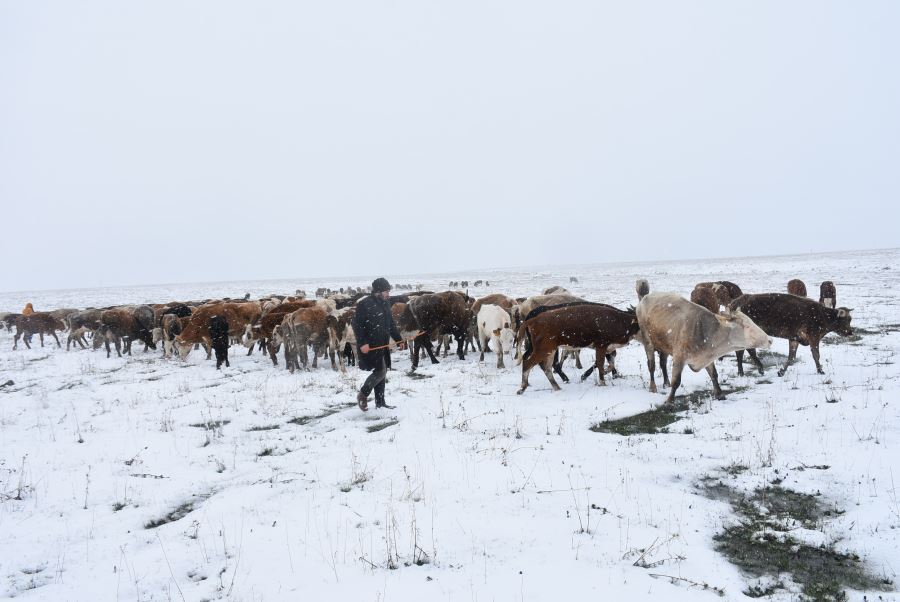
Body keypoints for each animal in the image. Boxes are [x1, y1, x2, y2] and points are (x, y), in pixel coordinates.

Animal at [512, 302, 640, 392]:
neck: (619, 320)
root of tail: (532, 319)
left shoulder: (609, 348)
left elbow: (609, 363)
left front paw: (607, 373)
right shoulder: (601, 346)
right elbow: (600, 363)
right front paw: (601, 382)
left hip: (548, 349)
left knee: (544, 365)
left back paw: (556, 386)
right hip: (544, 349)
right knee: (530, 362)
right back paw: (523, 388)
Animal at [636, 292, 768, 404]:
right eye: (746, 325)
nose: (769, 340)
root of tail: (645, 298)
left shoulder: (707, 355)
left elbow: (714, 374)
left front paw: (719, 394)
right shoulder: (679, 357)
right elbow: (676, 381)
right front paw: (669, 401)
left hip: (664, 345)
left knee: (663, 363)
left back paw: (666, 383)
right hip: (647, 341)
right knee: (651, 365)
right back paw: (653, 387)